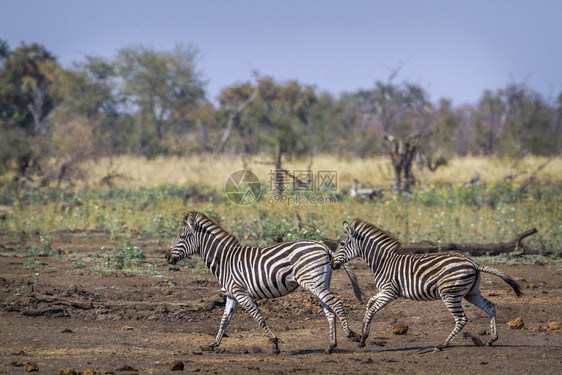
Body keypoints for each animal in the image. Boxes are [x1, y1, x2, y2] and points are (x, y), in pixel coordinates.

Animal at [165, 213, 364, 354]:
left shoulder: (241, 293)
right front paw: (213, 344)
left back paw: (352, 335)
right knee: (329, 311)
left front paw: (275, 344)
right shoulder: (231, 295)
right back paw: (330, 346)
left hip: (313, 282)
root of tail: (324, 247)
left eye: (181, 236)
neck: (224, 260)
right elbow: (224, 322)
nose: (166, 256)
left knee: (336, 304)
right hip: (320, 283)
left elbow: (258, 318)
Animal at [332, 219, 520, 352]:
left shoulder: (390, 292)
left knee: (461, 319)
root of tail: (472, 262)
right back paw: (491, 339)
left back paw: (442, 345)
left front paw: (363, 338)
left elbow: (371, 309)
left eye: (341, 244)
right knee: (490, 306)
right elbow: (370, 303)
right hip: (471, 293)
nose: (333, 264)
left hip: (450, 294)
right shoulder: (383, 290)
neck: (382, 261)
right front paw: (362, 337)